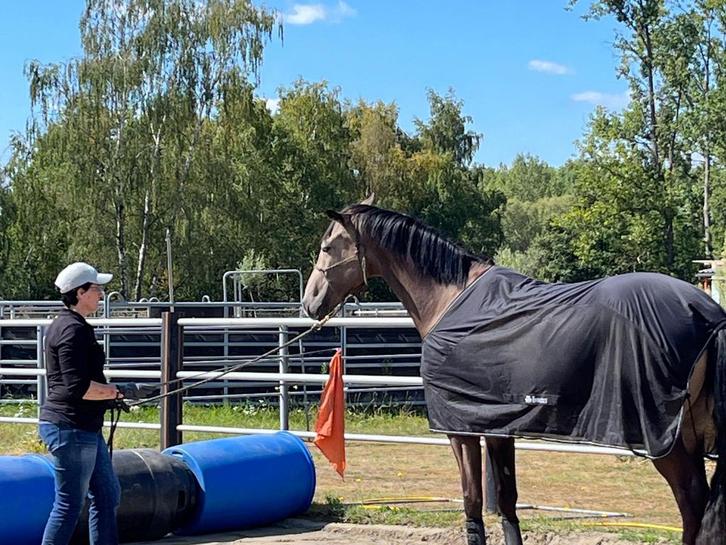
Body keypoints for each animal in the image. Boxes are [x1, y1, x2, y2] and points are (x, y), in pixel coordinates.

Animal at [302, 196, 726, 545]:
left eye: (327, 247)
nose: (309, 302)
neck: (450, 299)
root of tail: (708, 312)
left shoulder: (460, 429)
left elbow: (473, 501)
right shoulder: (497, 427)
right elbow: (506, 503)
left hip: (667, 442)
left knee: (691, 504)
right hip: (688, 435)